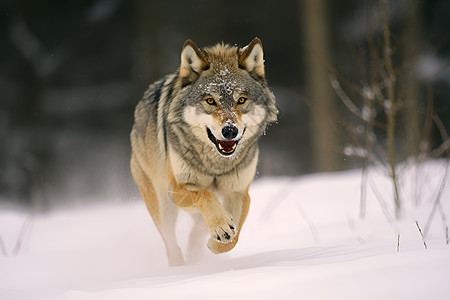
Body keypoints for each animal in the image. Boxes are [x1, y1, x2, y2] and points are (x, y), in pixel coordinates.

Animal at [130, 37, 278, 264]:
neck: (216, 166)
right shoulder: (177, 190)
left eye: (241, 100)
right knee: (170, 243)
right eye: (210, 100)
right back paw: (180, 264)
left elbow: (233, 238)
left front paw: (216, 242)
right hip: (162, 206)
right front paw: (220, 226)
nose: (229, 130)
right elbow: (205, 195)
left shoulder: (239, 192)